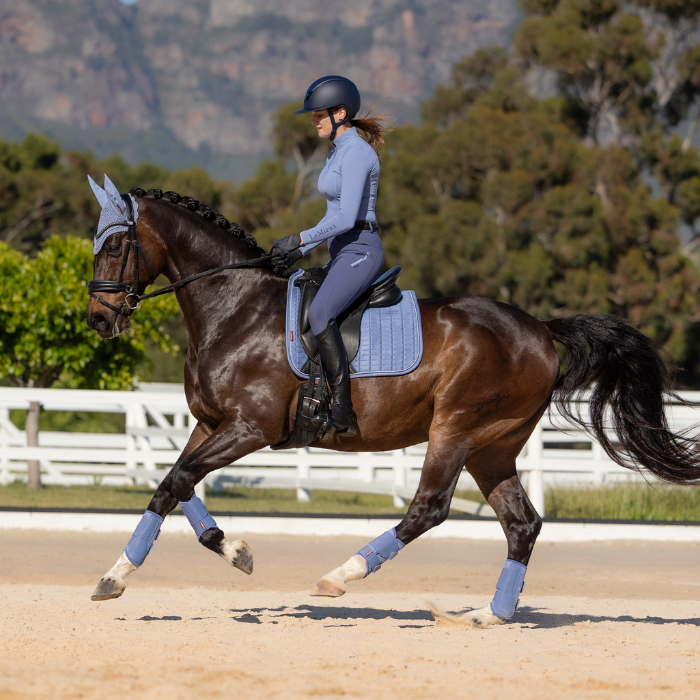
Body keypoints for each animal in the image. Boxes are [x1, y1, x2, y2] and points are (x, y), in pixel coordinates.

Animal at [85, 184, 700, 628]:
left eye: (114, 246)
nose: (98, 319)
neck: (234, 309)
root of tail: (539, 328)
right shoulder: (210, 424)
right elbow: (175, 484)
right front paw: (217, 554)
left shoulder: (247, 428)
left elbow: (176, 481)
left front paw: (126, 576)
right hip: (494, 447)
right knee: (522, 524)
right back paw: (489, 616)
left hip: (455, 428)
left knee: (428, 508)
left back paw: (341, 576)